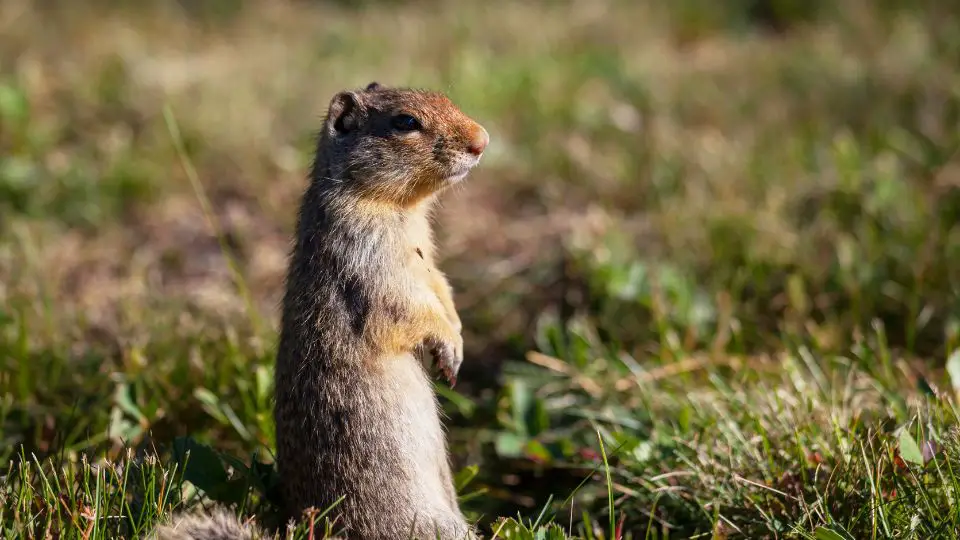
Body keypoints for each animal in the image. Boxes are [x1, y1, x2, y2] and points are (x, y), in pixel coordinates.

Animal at [157, 81, 492, 540]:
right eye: (405, 121)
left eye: (443, 97)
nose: (482, 141)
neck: (401, 210)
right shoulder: (368, 261)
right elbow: (406, 307)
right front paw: (448, 347)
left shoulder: (427, 258)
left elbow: (441, 285)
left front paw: (457, 338)